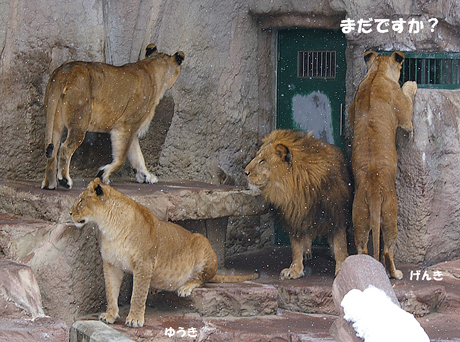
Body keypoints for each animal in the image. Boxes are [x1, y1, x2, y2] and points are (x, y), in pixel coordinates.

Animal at [41, 43, 184, 190]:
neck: (152, 68)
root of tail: (64, 71)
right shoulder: (125, 125)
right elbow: (121, 158)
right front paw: (103, 174)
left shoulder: (131, 128)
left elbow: (138, 156)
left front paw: (146, 176)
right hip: (79, 120)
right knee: (65, 148)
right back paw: (65, 180)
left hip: (55, 120)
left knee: (52, 151)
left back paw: (50, 184)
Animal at [70, 178, 260, 328]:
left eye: (80, 201)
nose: (70, 213)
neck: (108, 226)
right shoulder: (111, 264)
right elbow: (110, 292)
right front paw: (110, 315)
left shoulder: (144, 263)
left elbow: (137, 294)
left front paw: (134, 319)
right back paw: (155, 287)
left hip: (201, 242)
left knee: (201, 279)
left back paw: (185, 287)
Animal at [244, 130, 352, 280]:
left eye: (262, 160)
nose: (245, 172)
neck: (298, 187)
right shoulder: (294, 215)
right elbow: (295, 247)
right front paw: (294, 269)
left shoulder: (336, 212)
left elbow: (340, 243)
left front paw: (341, 267)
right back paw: (306, 252)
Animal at [348, 51, 416, 280]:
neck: (377, 73)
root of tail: (373, 187)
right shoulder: (405, 116)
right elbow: (407, 99)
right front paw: (411, 84)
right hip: (390, 213)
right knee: (387, 249)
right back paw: (396, 273)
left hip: (359, 213)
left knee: (362, 248)